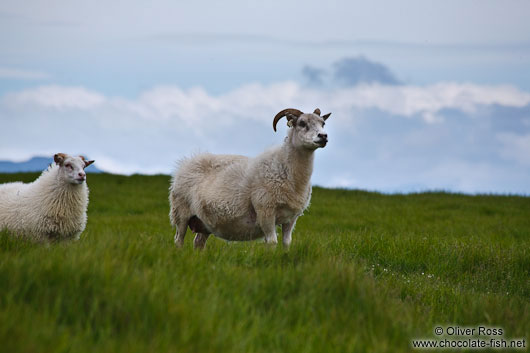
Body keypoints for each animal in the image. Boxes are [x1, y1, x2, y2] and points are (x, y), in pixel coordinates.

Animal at [168, 107, 330, 248]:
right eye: (302, 123)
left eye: (323, 123)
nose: (323, 136)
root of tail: (187, 162)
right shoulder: (265, 211)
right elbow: (272, 242)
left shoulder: (291, 217)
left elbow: (286, 242)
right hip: (181, 211)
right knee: (178, 239)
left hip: (204, 222)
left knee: (198, 242)